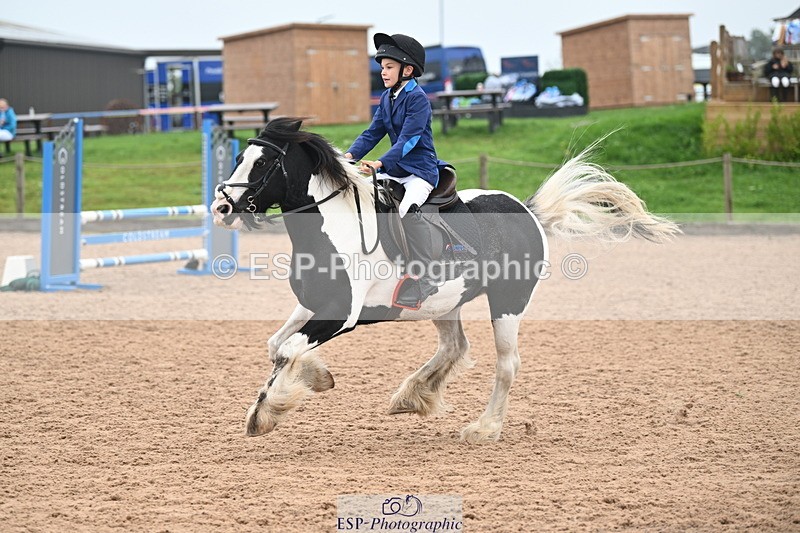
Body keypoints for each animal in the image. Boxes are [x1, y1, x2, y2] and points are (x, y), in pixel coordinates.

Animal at [211, 117, 679, 443]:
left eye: (263, 163)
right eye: (238, 158)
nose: (222, 206)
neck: (335, 226)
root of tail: (526, 209)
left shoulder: (341, 314)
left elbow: (289, 349)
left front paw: (266, 412)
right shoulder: (313, 305)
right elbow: (278, 346)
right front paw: (317, 377)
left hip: (507, 302)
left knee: (506, 364)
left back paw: (484, 428)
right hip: (443, 302)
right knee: (455, 347)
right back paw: (413, 395)